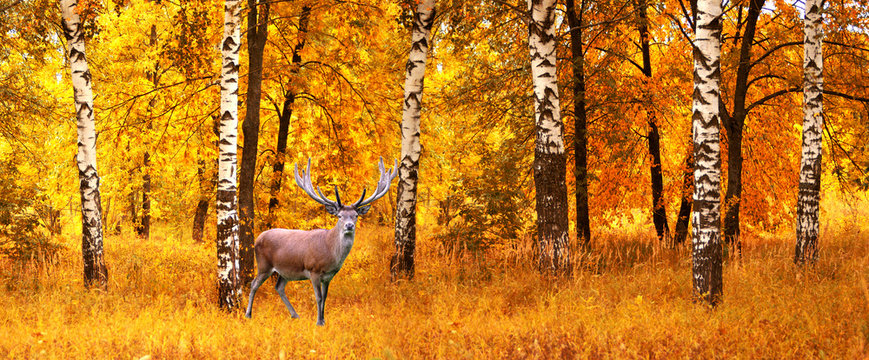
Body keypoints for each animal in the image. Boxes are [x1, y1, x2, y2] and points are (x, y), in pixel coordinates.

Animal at [242, 156, 396, 324]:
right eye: (340, 216)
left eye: (355, 215)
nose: (349, 225)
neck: (330, 253)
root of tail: (258, 238)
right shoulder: (313, 270)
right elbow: (319, 297)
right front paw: (318, 322)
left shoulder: (329, 275)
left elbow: (326, 297)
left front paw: (323, 320)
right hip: (264, 264)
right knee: (254, 284)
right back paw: (248, 314)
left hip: (285, 270)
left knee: (279, 287)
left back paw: (295, 314)